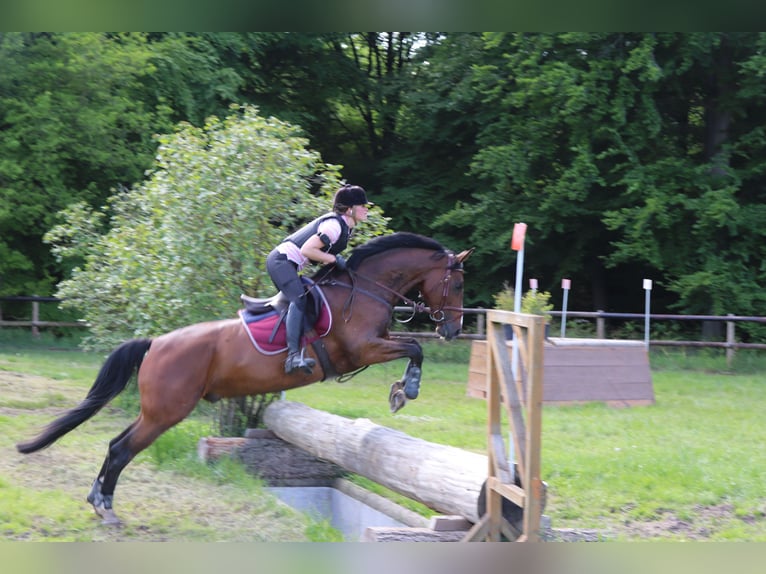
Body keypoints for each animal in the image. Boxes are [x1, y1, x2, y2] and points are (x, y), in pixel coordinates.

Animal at [16, 233, 474, 528]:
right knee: (122, 448)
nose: (452, 329)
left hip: (159, 411)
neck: (365, 290)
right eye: (458, 282)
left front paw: (400, 390)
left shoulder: (373, 346)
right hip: (167, 411)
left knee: (117, 444)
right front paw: (406, 390)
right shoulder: (361, 349)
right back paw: (107, 508)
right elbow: (414, 348)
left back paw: (98, 501)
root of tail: (156, 343)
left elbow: (412, 346)